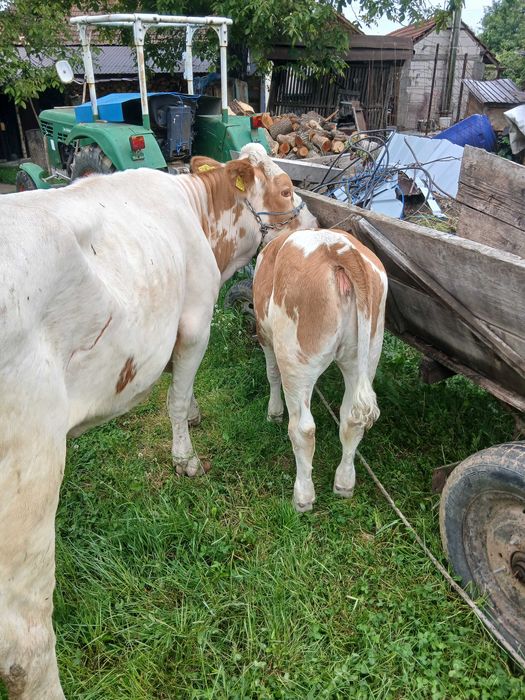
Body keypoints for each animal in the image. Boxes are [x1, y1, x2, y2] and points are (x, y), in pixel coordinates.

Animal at [0, 143, 317, 699]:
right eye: (283, 189)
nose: (315, 224)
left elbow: (181, 391)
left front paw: (192, 415)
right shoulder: (194, 321)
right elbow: (176, 392)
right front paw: (185, 457)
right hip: (28, 487)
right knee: (25, 648)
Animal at [253, 227, 387, 513]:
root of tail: (337, 248)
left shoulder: (264, 334)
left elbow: (272, 374)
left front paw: (274, 413)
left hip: (295, 360)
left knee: (303, 429)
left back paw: (303, 496)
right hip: (367, 353)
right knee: (351, 419)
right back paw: (344, 483)